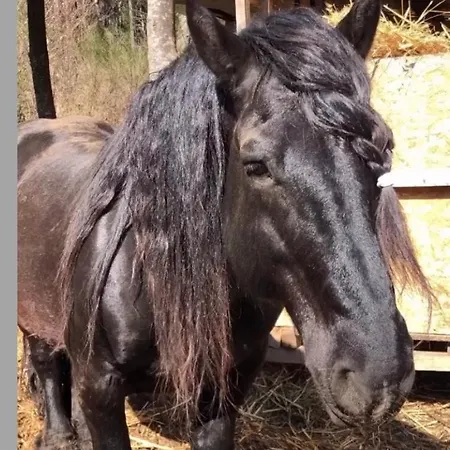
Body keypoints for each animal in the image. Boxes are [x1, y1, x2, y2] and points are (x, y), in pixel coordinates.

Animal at [17, 0, 434, 449]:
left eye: (384, 149)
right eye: (255, 165)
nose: (378, 375)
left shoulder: (223, 390)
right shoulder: (101, 388)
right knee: (44, 360)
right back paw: (60, 435)